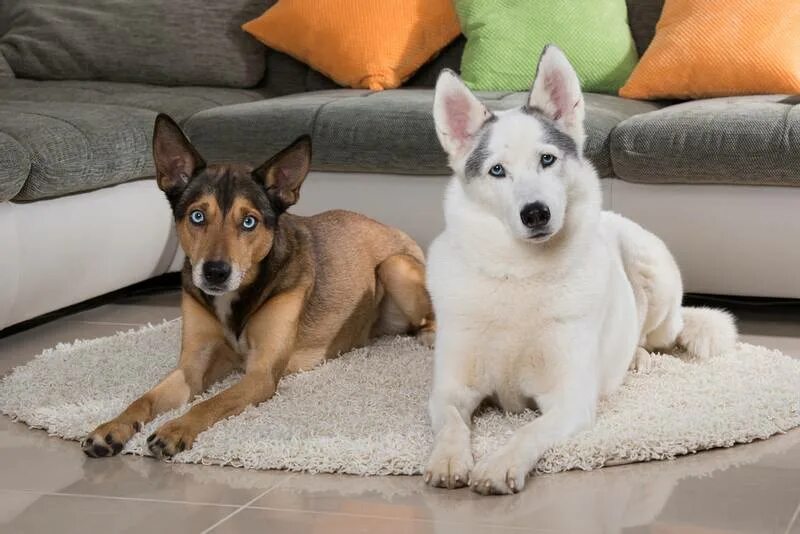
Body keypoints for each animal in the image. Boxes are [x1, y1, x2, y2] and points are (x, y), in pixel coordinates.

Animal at [83, 116, 434, 460]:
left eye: (249, 222)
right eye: (197, 216)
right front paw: (111, 429)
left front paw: (175, 430)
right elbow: (144, 398)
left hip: (394, 265)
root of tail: (398, 231)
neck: (234, 299)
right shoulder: (192, 366)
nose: (215, 272)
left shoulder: (261, 373)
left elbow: (211, 402)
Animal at [424, 46, 736, 498]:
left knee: (658, 333)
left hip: (650, 267)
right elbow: (451, 422)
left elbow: (528, 431)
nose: (536, 213)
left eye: (547, 159)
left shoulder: (569, 400)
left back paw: (638, 355)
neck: (520, 274)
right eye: (497, 170)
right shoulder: (449, 390)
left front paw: (499, 464)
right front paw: (449, 459)